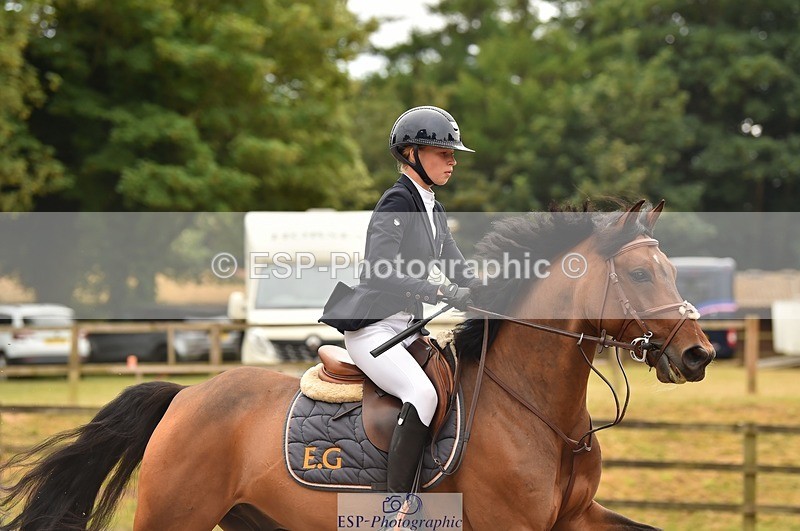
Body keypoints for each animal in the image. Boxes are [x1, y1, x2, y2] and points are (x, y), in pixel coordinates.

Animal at [0, 200, 715, 530]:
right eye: (642, 273)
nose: (699, 354)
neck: (541, 413)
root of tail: (186, 397)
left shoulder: (575, 518)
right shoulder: (510, 523)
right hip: (174, 513)